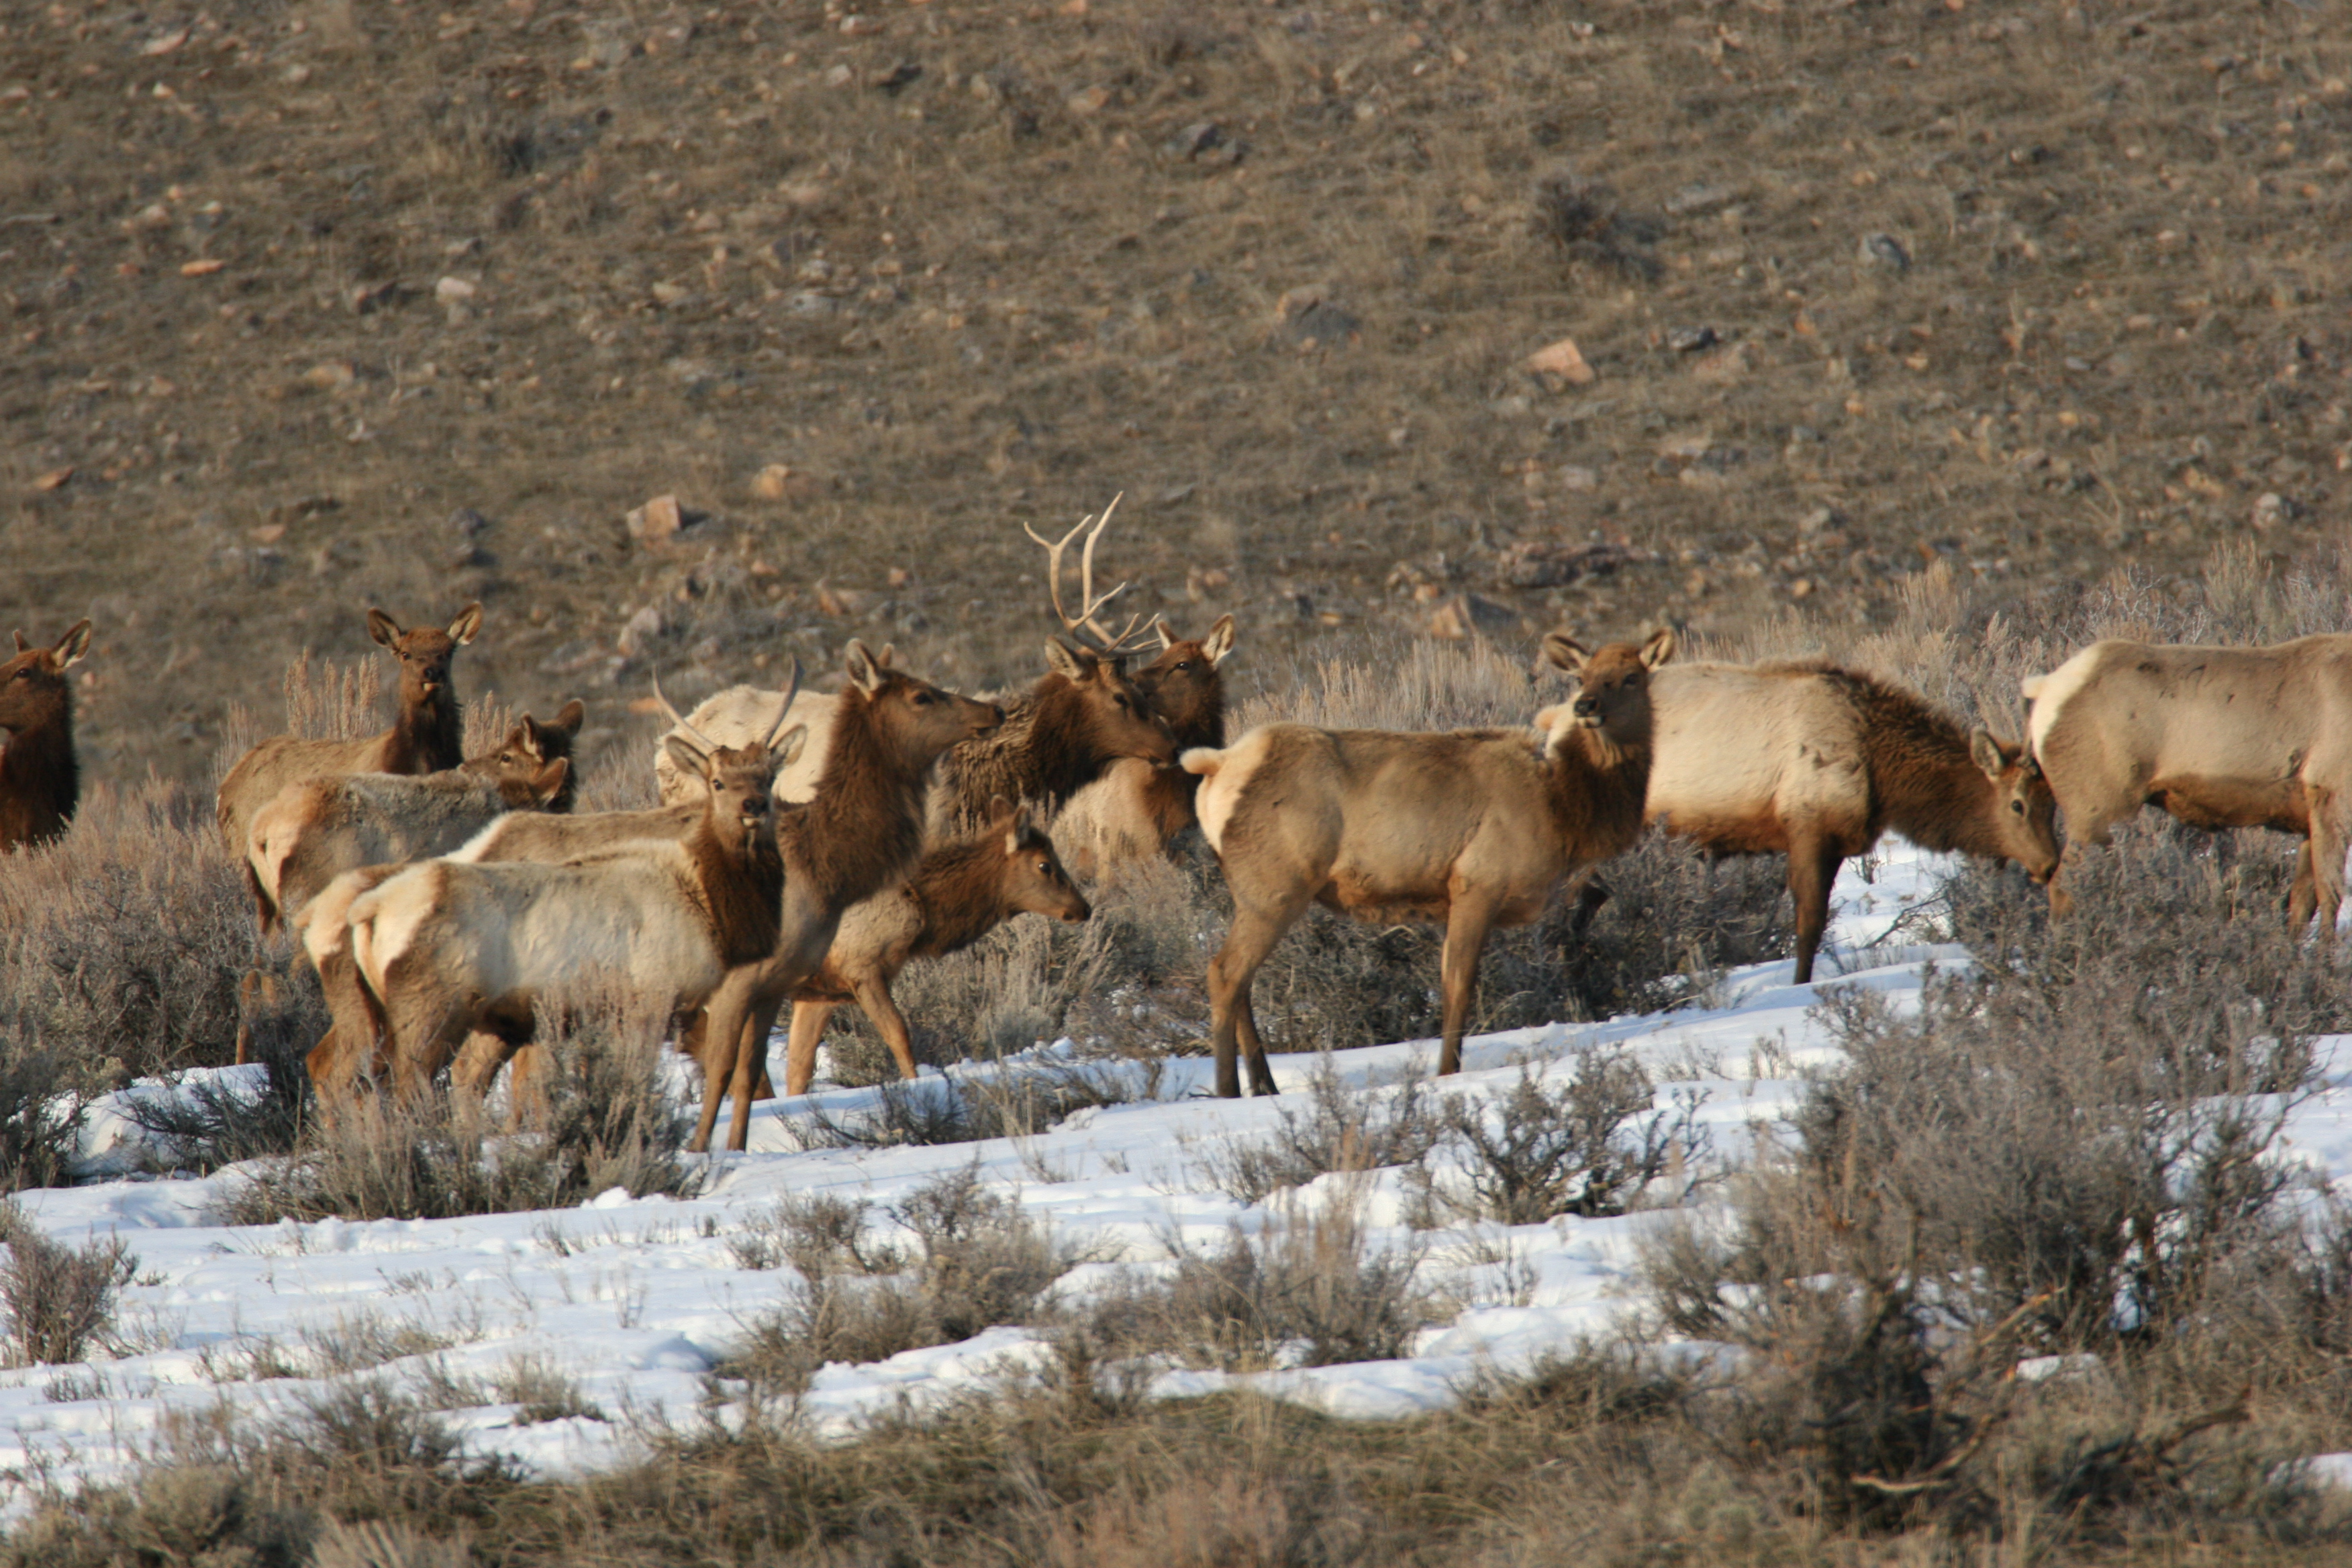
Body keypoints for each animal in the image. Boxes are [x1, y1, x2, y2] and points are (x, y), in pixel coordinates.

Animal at [769, 798, 1092, 1095]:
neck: (922, 916)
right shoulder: (861, 966)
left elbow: (799, 1069)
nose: (1084, 908)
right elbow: (899, 1033)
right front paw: (917, 1087)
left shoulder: (822, 992)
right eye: (1044, 865)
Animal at [1183, 629, 1673, 1098]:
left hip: (1252, 890)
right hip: (1276, 884)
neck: (1566, 810)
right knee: (1225, 972)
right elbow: (1458, 983)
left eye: (1632, 677)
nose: (1585, 705)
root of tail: (1216, 766)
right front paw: (1446, 1071)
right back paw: (1228, 1090)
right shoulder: (1478, 882)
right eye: (1582, 676)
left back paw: (1265, 1084)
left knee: (1241, 979)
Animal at [1598, 661, 2059, 984]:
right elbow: (1808, 926)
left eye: (2052, 804)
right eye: (2017, 805)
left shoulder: (1837, 840)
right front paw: (1799, 987)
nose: (2050, 864)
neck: (1883, 776)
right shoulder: (1806, 827)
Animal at [2022, 635, 2352, 929]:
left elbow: (2303, 903)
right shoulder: (2331, 796)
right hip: (2097, 812)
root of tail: (2043, 688)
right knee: (2063, 885)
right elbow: (2331, 898)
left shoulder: (2308, 820)